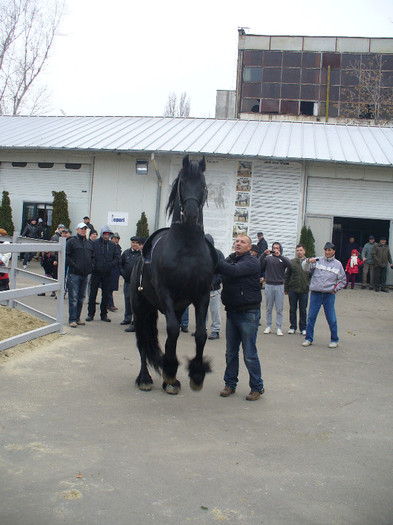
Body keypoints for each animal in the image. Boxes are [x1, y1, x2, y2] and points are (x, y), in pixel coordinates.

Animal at [132, 156, 217, 392]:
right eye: (182, 183)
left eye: (203, 185)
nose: (190, 214)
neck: (186, 250)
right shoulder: (166, 294)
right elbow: (171, 330)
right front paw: (169, 369)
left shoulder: (201, 296)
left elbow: (199, 334)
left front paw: (196, 374)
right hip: (140, 307)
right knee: (143, 341)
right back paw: (145, 378)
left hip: (178, 308)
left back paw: (170, 381)